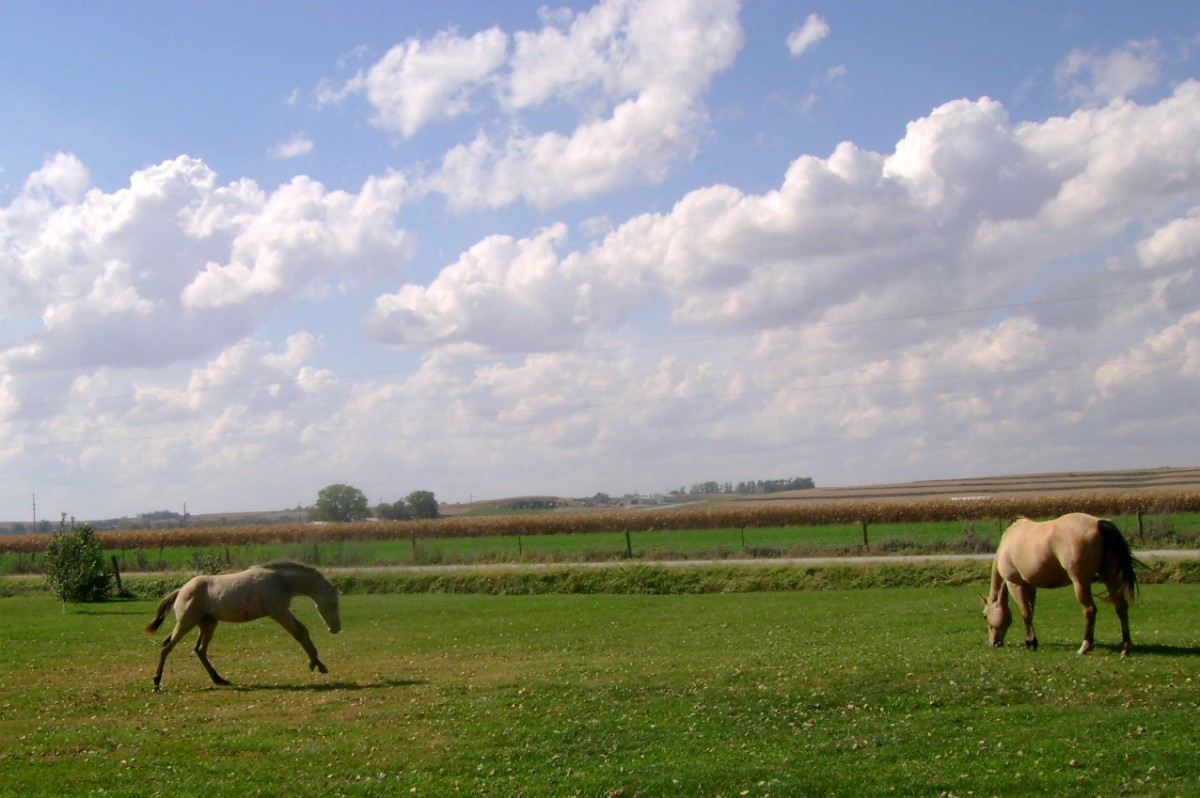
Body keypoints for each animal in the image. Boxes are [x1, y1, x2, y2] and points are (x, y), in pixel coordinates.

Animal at [147, 559, 343, 686]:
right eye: (334, 604)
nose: (335, 628)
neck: (279, 580)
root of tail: (181, 590)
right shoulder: (279, 613)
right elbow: (299, 634)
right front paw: (317, 664)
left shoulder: (283, 611)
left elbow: (303, 631)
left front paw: (317, 663)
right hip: (187, 623)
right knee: (167, 647)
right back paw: (156, 682)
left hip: (208, 624)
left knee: (199, 650)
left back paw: (219, 679)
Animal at [979, 513, 1137, 657]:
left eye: (985, 616)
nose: (993, 643)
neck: (1007, 543)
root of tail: (1099, 523)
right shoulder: (1031, 586)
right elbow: (1031, 612)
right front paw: (1031, 641)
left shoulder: (1015, 584)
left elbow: (1025, 614)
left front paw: (1031, 643)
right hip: (1111, 578)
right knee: (1121, 607)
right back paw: (1126, 648)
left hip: (1080, 583)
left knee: (1090, 610)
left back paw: (1085, 646)